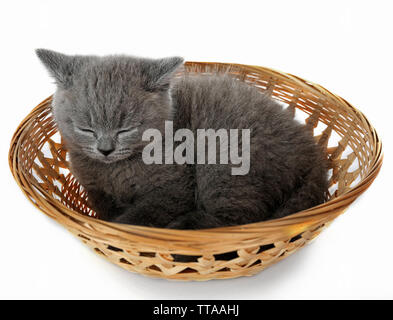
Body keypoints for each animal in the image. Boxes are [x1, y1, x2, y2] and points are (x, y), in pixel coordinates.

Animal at [36, 49, 328, 230]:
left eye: (125, 129)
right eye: (86, 129)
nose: (105, 149)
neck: (115, 171)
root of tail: (311, 152)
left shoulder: (176, 187)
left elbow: (142, 214)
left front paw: (119, 228)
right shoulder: (95, 189)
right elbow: (105, 208)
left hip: (224, 163)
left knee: (239, 218)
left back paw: (183, 227)